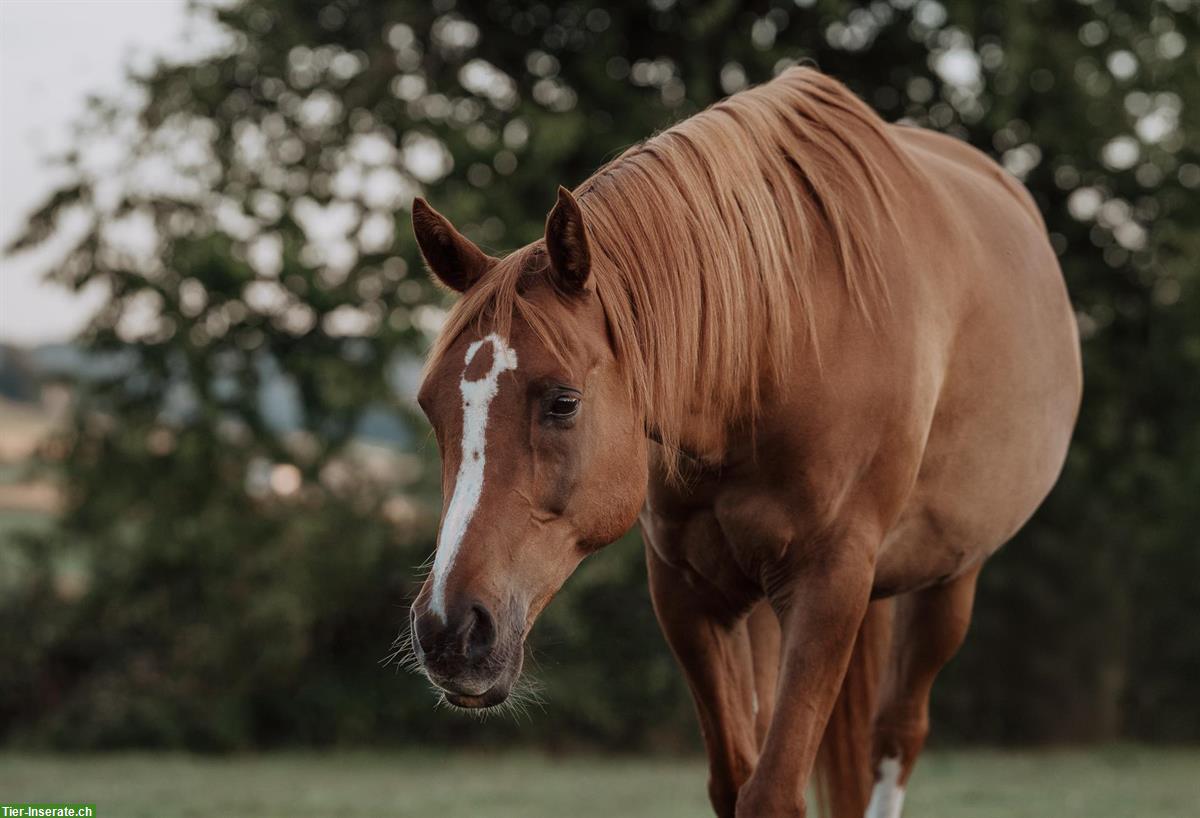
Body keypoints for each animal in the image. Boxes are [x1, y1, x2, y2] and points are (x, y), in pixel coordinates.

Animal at [408, 70, 1084, 815]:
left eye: (563, 402)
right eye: (431, 407)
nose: (449, 629)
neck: (775, 349)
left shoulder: (831, 585)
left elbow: (773, 791)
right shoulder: (689, 595)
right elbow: (734, 777)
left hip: (950, 578)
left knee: (896, 736)